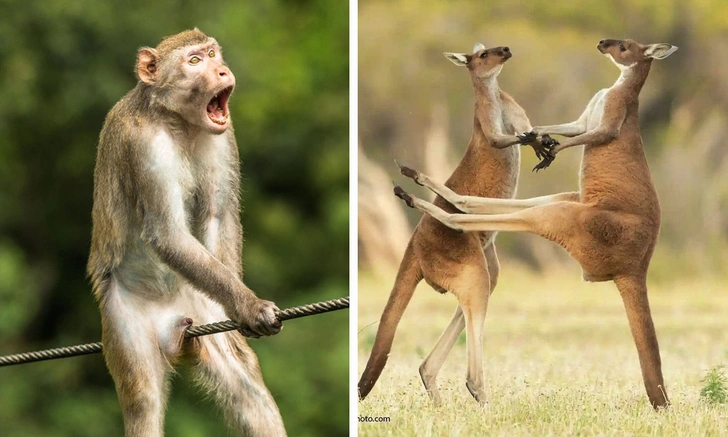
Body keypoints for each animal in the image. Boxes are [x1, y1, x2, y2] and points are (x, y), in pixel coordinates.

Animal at [88, 29, 288, 434]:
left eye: (212, 54)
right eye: (194, 61)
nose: (222, 71)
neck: (176, 121)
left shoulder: (224, 136)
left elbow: (218, 215)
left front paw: (239, 308)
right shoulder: (143, 145)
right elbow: (167, 233)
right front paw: (250, 305)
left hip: (197, 310)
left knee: (248, 390)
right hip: (124, 322)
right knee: (143, 401)